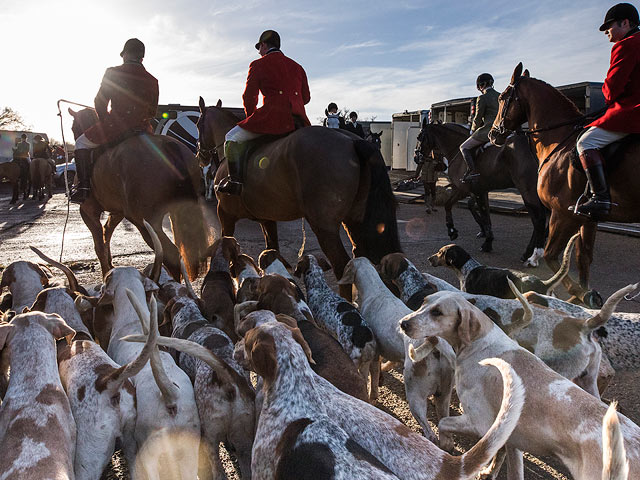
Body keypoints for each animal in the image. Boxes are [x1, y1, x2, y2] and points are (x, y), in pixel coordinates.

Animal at [67, 108, 208, 282]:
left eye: (73, 127)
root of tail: (169, 146)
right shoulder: (117, 212)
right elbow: (107, 233)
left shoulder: (88, 211)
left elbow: (99, 246)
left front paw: (106, 273)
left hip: (145, 222)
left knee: (171, 255)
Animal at [195, 97, 400, 296]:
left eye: (197, 123)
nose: (200, 156)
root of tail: (352, 141)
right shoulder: (267, 218)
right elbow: (272, 249)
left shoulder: (225, 214)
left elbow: (226, 245)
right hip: (354, 220)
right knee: (362, 256)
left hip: (324, 225)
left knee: (342, 266)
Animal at [418, 119, 548, 262]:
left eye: (420, 137)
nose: (417, 157)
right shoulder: (478, 191)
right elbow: (472, 210)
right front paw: (456, 231)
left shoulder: (465, 190)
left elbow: (478, 212)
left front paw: (485, 240)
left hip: (527, 191)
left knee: (538, 220)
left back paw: (530, 252)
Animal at [490, 62, 640, 308]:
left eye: (502, 98)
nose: (493, 134)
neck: (560, 140)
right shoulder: (586, 217)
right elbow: (582, 257)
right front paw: (584, 293)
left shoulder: (563, 214)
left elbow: (552, 256)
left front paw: (578, 292)